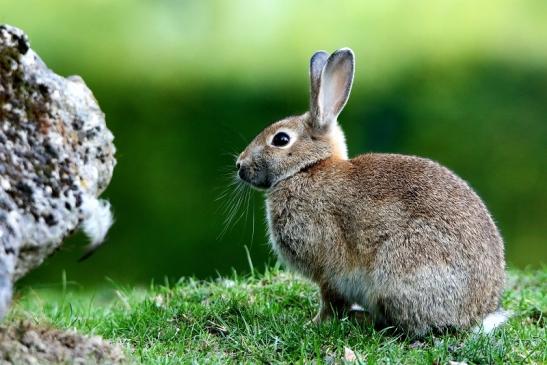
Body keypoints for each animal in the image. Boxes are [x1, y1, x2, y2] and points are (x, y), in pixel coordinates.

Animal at [233, 48, 508, 336]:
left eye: (281, 139)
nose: (240, 165)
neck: (307, 167)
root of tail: (476, 315)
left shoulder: (329, 270)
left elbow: (330, 300)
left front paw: (314, 323)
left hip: (399, 272)